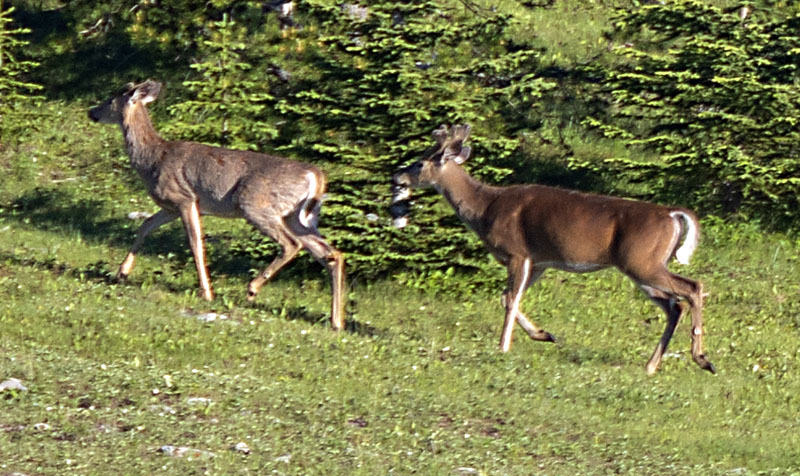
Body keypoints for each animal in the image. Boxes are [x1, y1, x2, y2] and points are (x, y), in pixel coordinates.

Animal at [88, 80, 345, 330]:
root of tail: (316, 176)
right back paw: (336, 322)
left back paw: (252, 289)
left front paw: (206, 292)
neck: (152, 159)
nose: (92, 112)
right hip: (300, 217)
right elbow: (145, 226)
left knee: (292, 244)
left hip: (257, 205)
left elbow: (195, 244)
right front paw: (122, 272)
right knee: (331, 254)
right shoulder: (170, 206)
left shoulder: (184, 197)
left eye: (110, 99)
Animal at [391, 124, 715, 374]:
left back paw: (701, 358)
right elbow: (508, 297)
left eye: (420, 162)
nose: (397, 177)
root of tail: (672, 214)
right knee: (674, 305)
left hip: (642, 261)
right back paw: (651, 366)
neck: (484, 208)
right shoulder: (539, 261)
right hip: (642, 267)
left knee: (693, 288)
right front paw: (543, 334)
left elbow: (510, 300)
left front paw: (503, 346)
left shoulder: (517, 252)